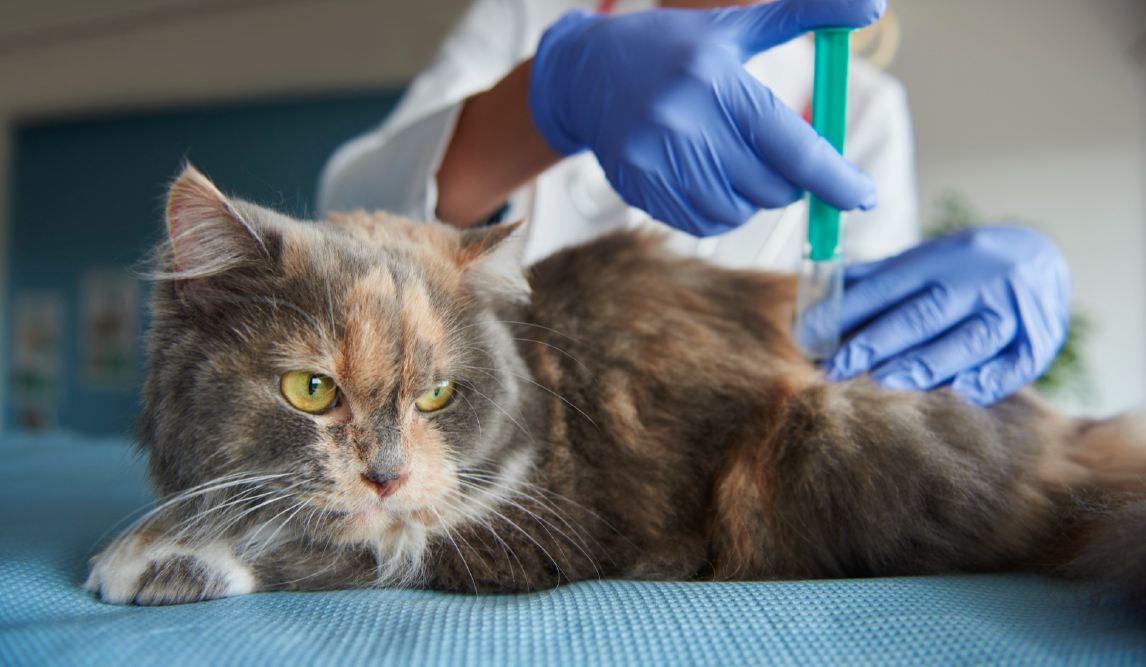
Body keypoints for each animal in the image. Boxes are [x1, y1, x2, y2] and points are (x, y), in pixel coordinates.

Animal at [87, 166, 1146, 605]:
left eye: (436, 398)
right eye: (311, 390)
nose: (385, 474)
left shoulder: (546, 528)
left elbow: (332, 544)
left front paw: (148, 557)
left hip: (815, 444)